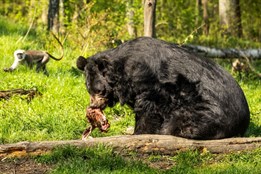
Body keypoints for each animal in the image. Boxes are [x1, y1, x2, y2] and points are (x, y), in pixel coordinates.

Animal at [76, 37, 249, 140]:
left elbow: (148, 108)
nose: (93, 106)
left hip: (203, 111)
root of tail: (243, 124)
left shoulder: (149, 83)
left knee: (180, 123)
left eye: (99, 91)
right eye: (89, 90)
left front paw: (139, 132)